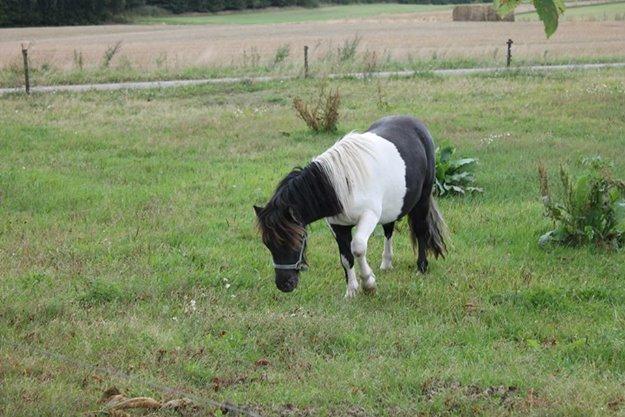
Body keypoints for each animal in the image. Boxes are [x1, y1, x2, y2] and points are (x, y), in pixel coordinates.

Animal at [251, 114, 446, 296]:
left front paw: (369, 284)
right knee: (389, 230)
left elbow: (358, 248)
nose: (284, 285)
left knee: (421, 230)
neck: (341, 186)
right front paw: (351, 291)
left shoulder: (369, 216)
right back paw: (386, 263)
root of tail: (416, 124)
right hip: (391, 207)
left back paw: (421, 267)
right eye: (267, 244)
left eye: (298, 240)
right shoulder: (337, 226)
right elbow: (346, 257)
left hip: (423, 199)